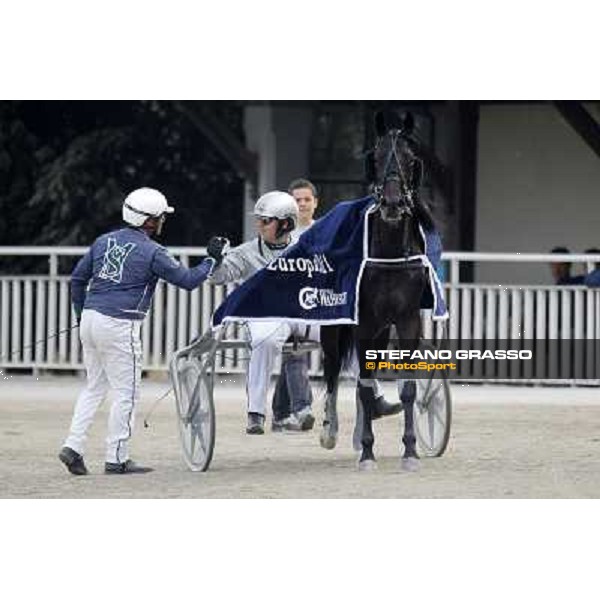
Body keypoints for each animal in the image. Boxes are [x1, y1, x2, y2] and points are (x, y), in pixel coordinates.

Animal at [318, 110, 436, 472]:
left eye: (411, 159)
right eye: (376, 156)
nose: (394, 203)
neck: (390, 253)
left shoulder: (406, 320)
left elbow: (407, 389)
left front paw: (410, 451)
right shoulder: (364, 322)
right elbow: (364, 385)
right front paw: (368, 453)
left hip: (382, 331)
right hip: (336, 328)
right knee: (332, 371)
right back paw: (330, 430)